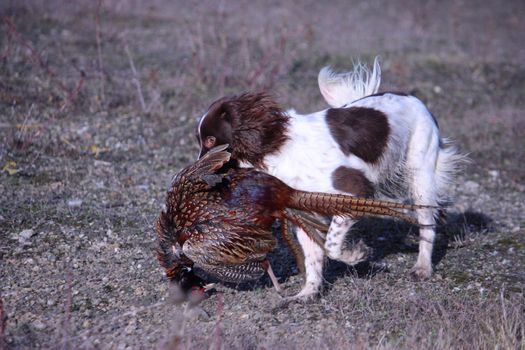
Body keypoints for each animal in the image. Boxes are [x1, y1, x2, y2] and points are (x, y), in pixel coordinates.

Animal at [196, 58, 462, 300]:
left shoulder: (356, 191)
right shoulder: (303, 211)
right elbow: (314, 255)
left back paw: (422, 267)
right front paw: (308, 292)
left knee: (427, 222)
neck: (277, 151)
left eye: (210, 140)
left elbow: (331, 245)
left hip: (420, 173)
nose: (198, 170)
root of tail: (412, 97)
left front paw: (355, 255)